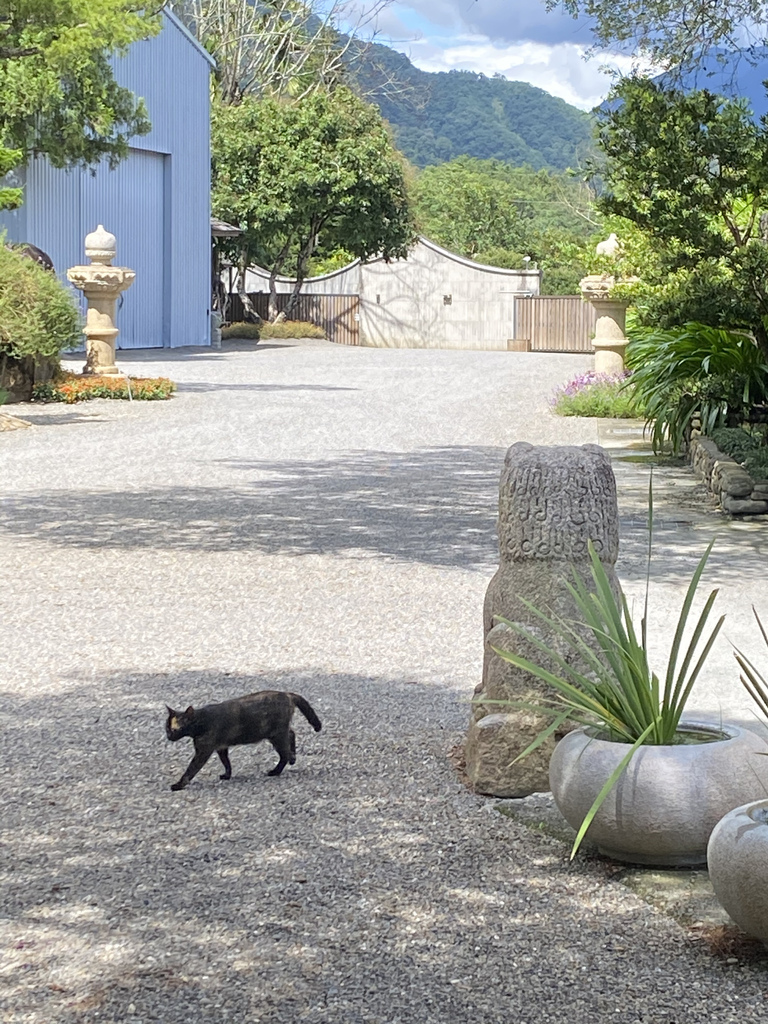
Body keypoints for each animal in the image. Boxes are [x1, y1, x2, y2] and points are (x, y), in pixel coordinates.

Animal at [166, 692, 323, 794]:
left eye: (174, 729)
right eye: (166, 728)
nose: (168, 736)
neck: (201, 720)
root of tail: (287, 694)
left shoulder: (203, 752)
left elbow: (190, 770)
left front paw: (178, 785)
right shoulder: (221, 748)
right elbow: (226, 763)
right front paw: (227, 775)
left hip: (276, 736)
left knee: (285, 754)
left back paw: (279, 769)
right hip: (277, 734)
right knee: (291, 734)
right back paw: (292, 758)